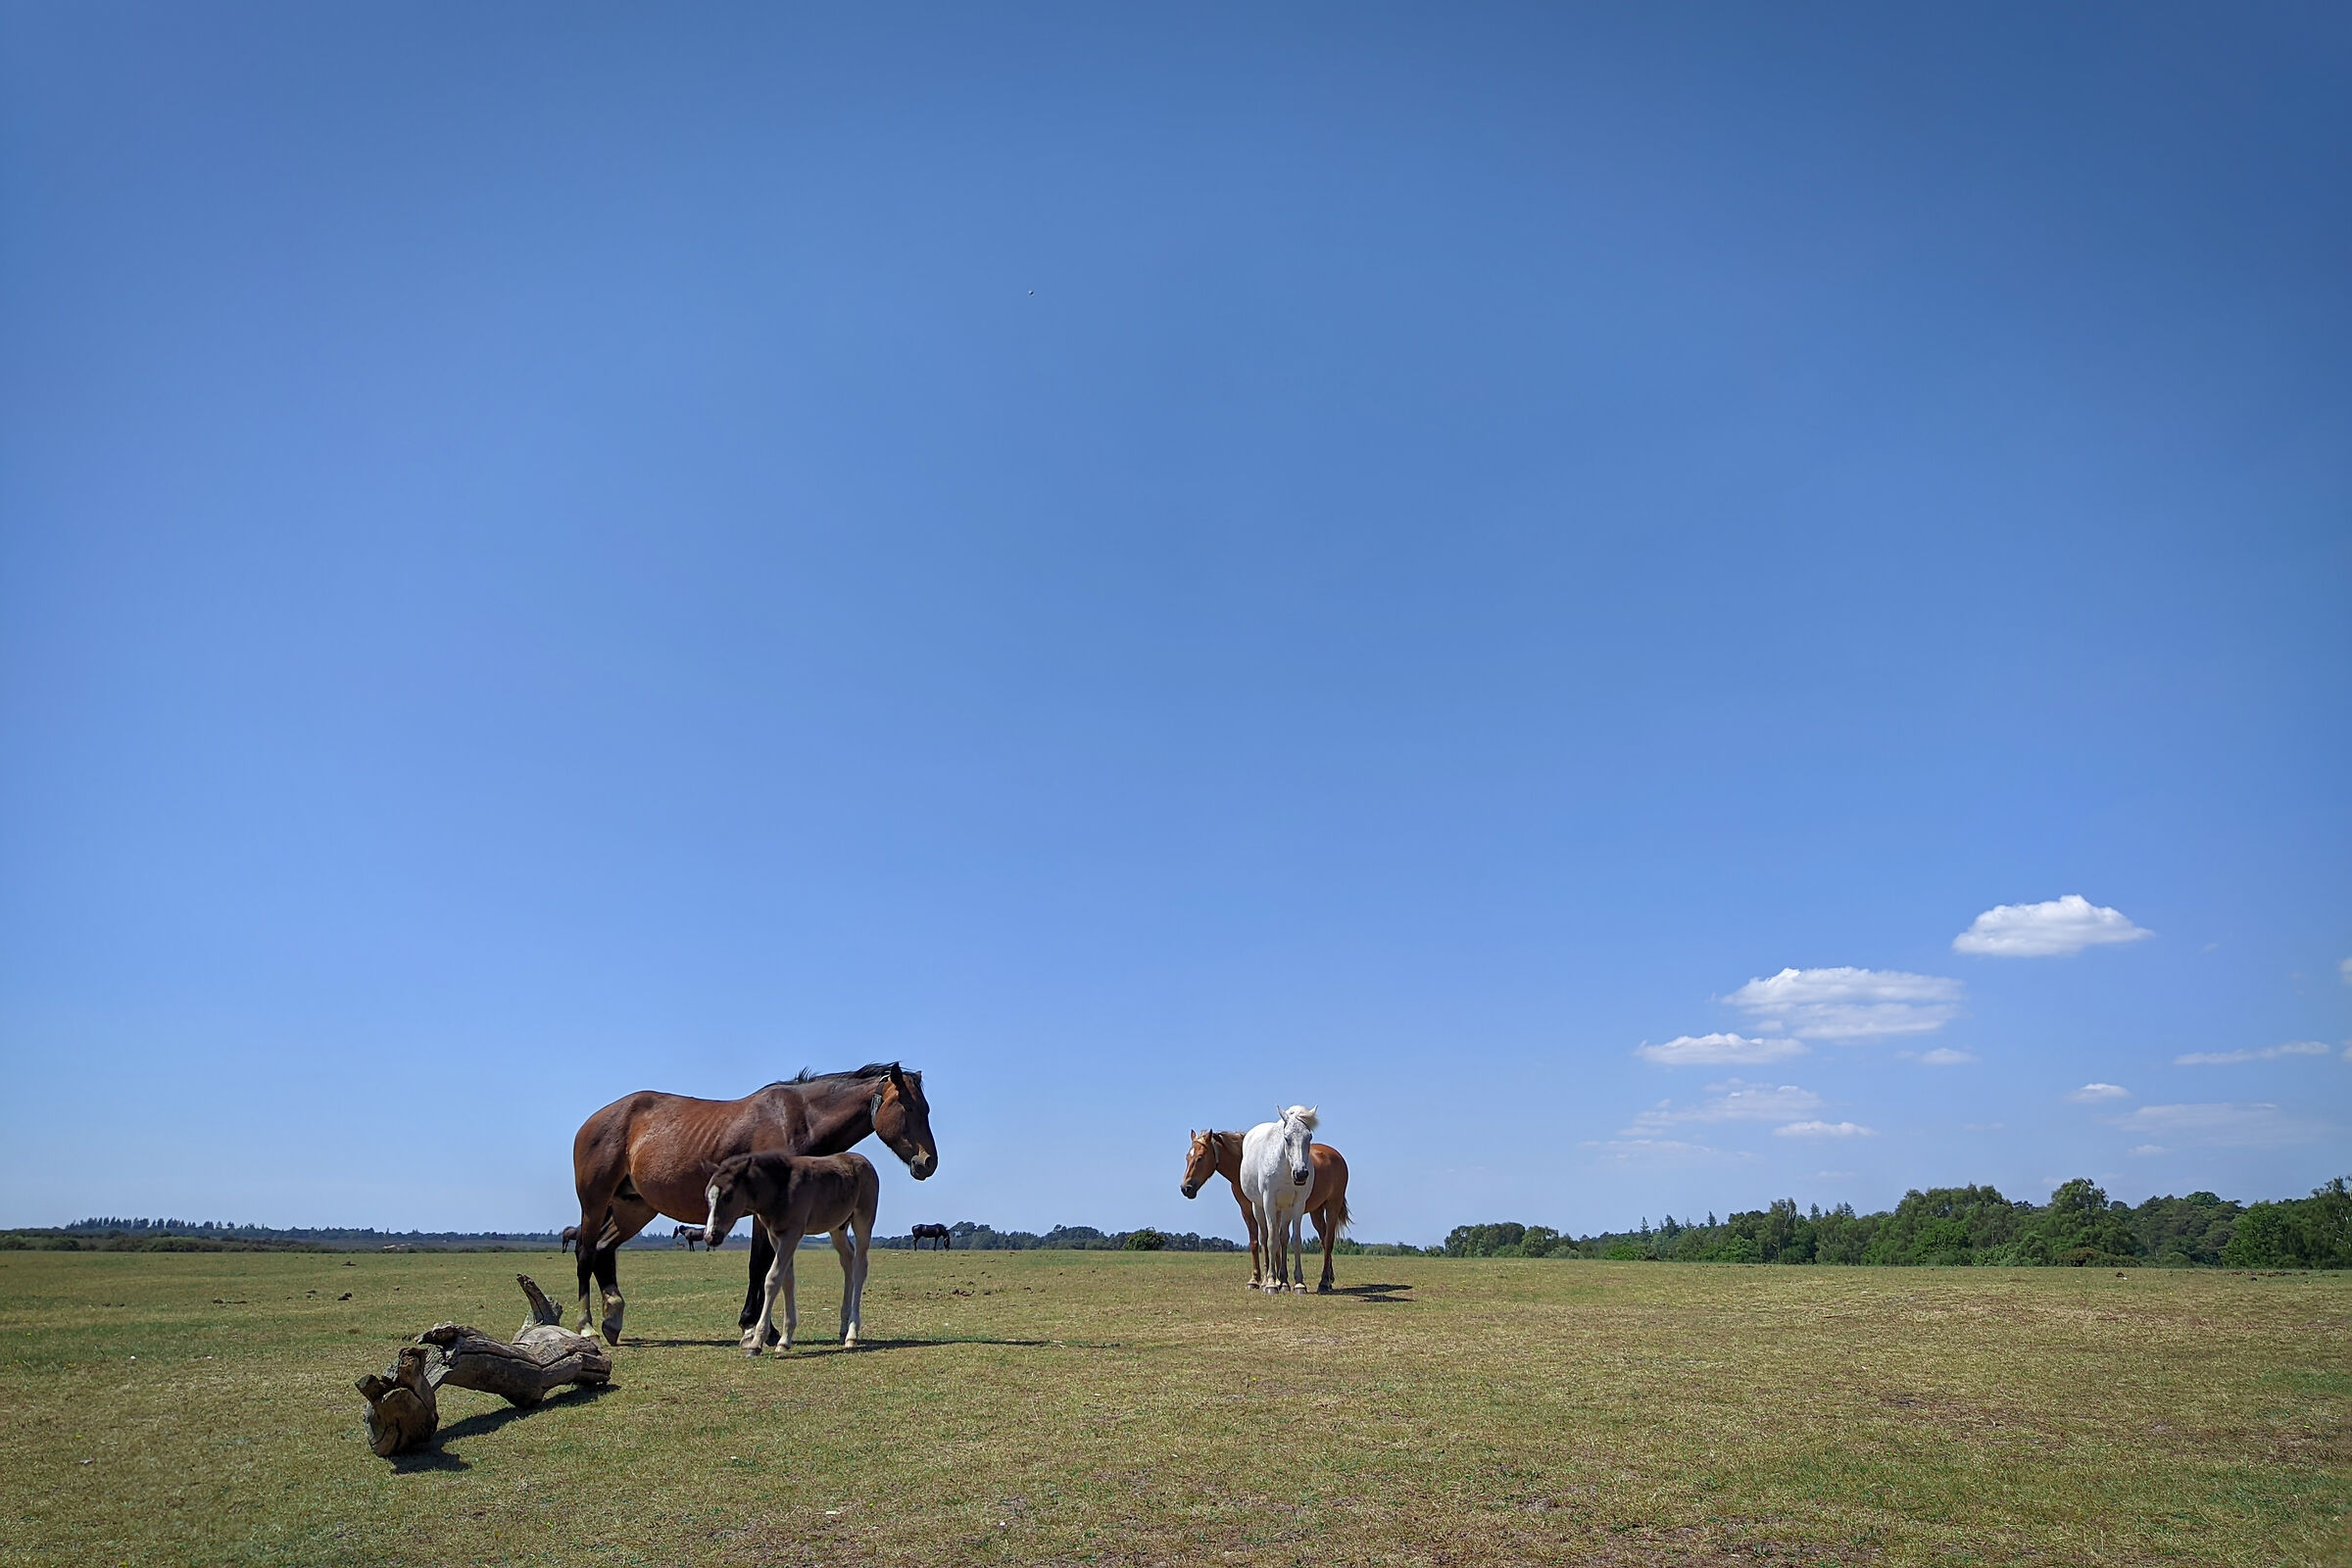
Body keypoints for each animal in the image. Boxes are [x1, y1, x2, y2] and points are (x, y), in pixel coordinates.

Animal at [702, 1151, 879, 1355]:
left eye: (728, 1196)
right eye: (707, 1197)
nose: (710, 1236)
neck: (780, 1188)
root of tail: (864, 1161)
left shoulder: (792, 1235)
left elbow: (772, 1279)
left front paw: (756, 1342)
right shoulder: (775, 1236)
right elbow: (787, 1280)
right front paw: (784, 1340)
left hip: (863, 1220)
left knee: (860, 1267)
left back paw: (852, 1334)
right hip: (838, 1227)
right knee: (847, 1260)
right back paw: (843, 1329)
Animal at [1182, 1127, 1350, 1291]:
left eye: (1200, 1157)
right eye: (1187, 1158)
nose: (1185, 1188)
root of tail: (1335, 1155)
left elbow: (1275, 1241)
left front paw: (1277, 1281)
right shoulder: (1248, 1211)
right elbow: (1258, 1242)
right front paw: (1258, 1280)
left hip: (1332, 1205)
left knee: (1329, 1240)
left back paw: (1324, 1281)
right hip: (1316, 1211)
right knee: (1323, 1240)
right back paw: (1329, 1279)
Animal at [1239, 1106, 1320, 1294]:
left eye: (1309, 1137)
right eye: (1287, 1138)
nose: (1301, 1174)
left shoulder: (1297, 1205)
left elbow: (1295, 1240)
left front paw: (1299, 1284)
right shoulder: (1268, 1202)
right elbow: (1271, 1241)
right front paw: (1270, 1284)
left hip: (1283, 1210)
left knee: (1283, 1237)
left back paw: (1283, 1282)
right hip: (1259, 1207)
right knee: (1264, 1237)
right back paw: (1264, 1282)